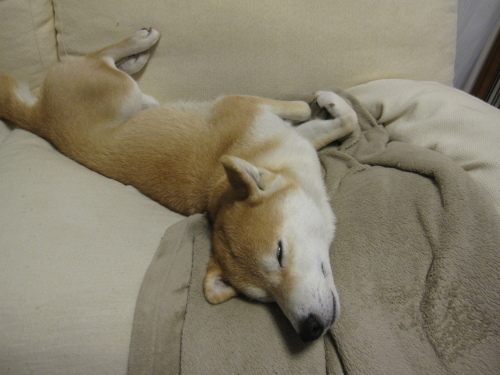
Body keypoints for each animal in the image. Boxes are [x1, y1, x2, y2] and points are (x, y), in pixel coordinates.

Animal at [1, 27, 358, 342]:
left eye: (280, 253)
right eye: (264, 298)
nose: (309, 329)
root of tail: (40, 120)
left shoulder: (284, 132)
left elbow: (336, 121)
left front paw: (330, 104)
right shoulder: (247, 108)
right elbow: (308, 108)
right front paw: (327, 101)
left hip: (136, 101)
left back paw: (135, 57)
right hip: (120, 91)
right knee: (95, 57)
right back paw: (140, 42)